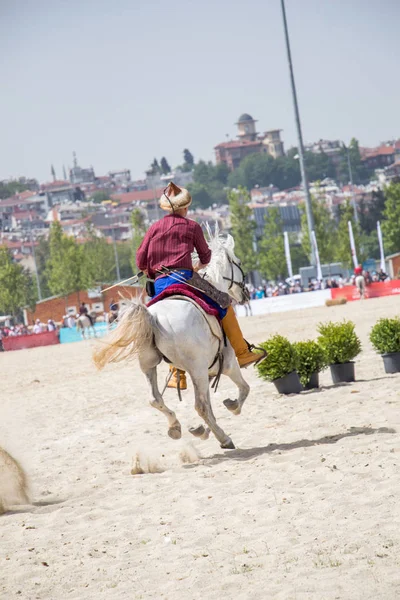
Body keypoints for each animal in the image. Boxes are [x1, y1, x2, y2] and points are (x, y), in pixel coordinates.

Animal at [93, 230, 250, 450]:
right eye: (239, 262)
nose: (245, 292)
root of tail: (152, 316)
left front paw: (202, 429)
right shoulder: (224, 364)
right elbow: (243, 389)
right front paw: (232, 406)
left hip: (149, 364)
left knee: (155, 399)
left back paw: (176, 427)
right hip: (198, 368)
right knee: (200, 405)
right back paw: (224, 439)